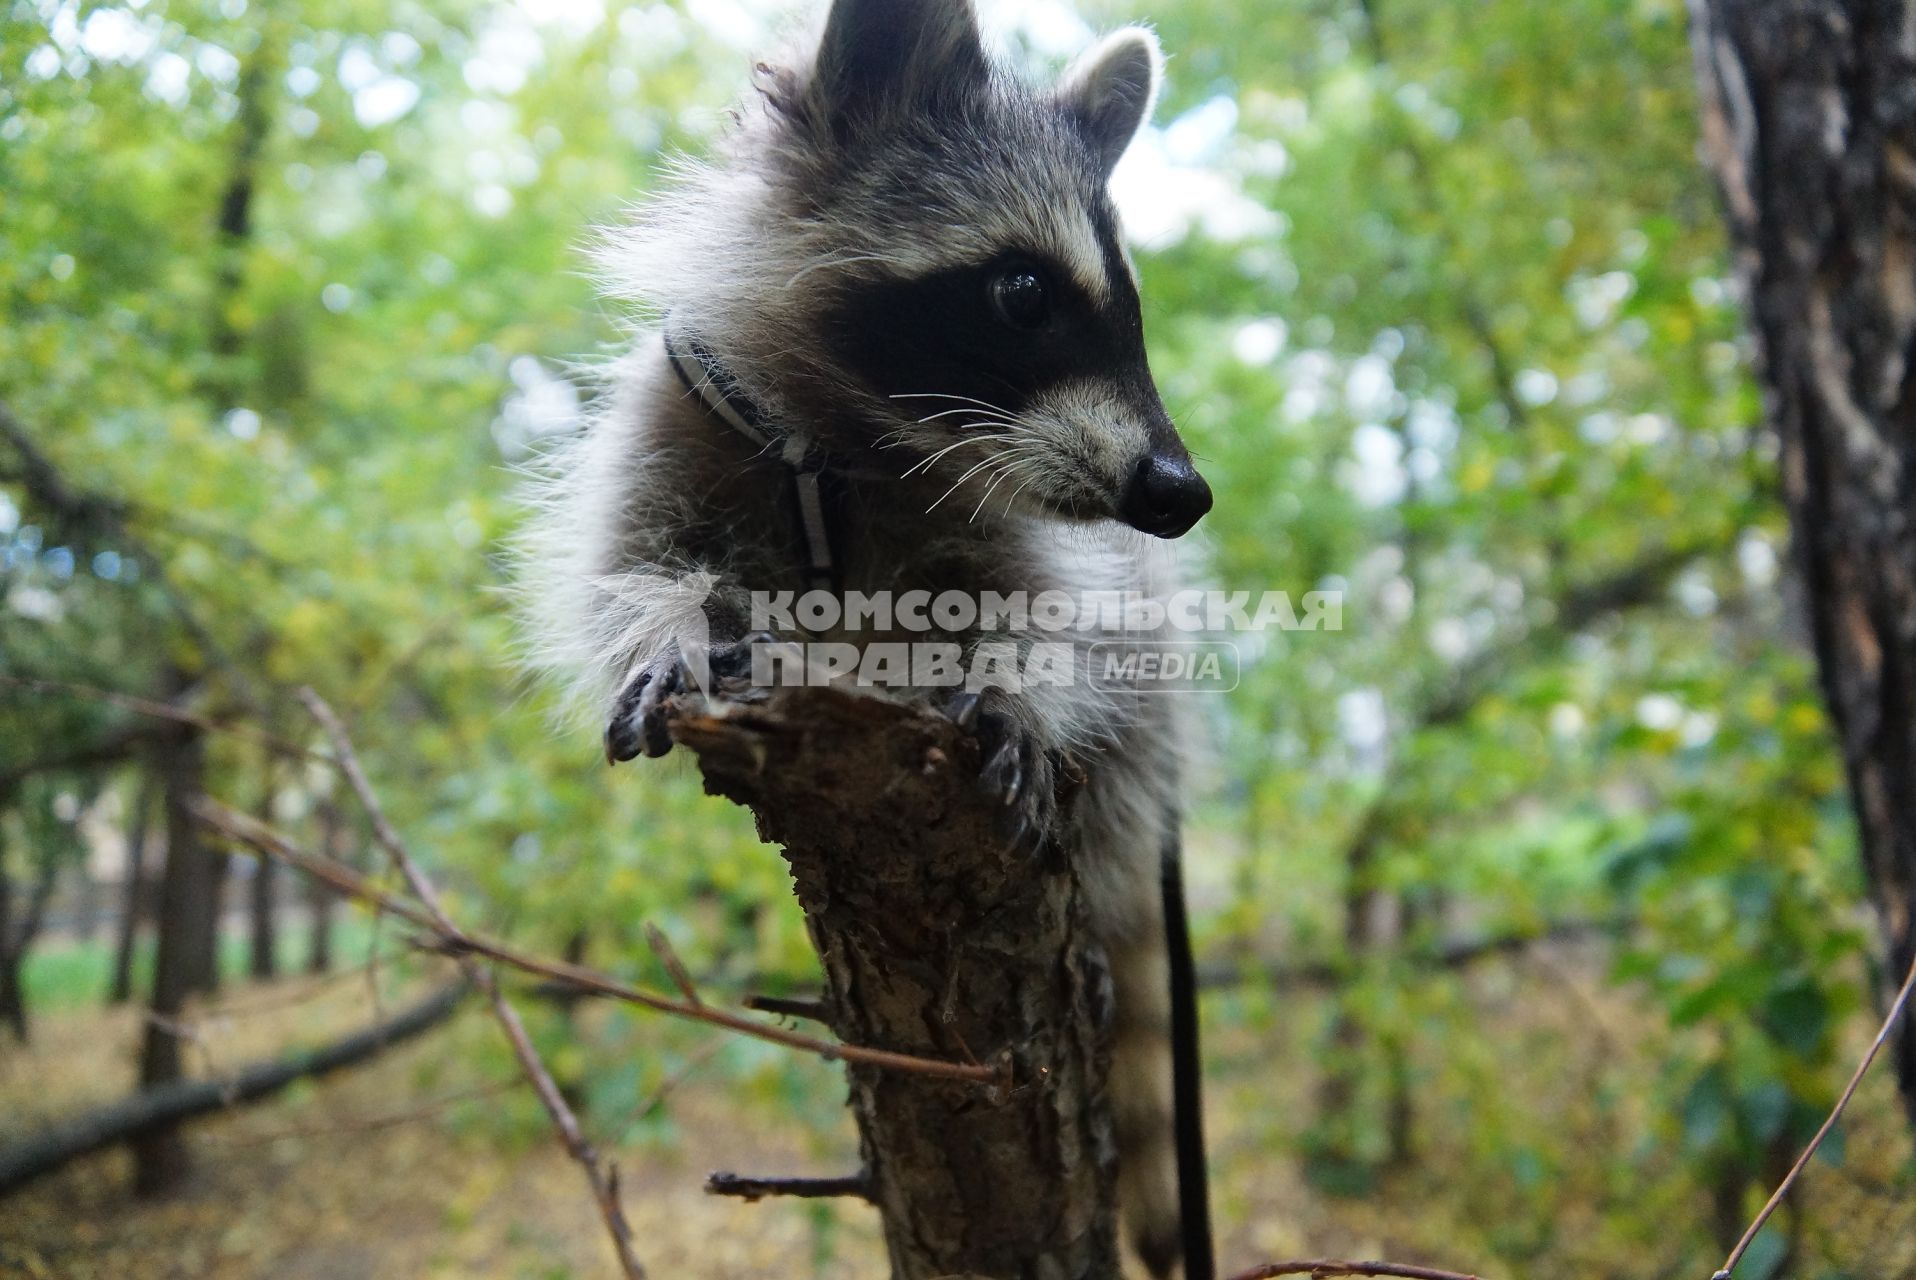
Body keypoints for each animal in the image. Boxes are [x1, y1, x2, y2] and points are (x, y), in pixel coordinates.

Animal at [524, 5, 1210, 1272]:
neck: (851, 442)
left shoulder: (1047, 538)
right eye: (1022, 291)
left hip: (1151, 733)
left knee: (1125, 759)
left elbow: (1053, 617)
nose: (1178, 494)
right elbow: (626, 569)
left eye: (1131, 308)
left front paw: (1014, 688)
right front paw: (662, 633)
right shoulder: (672, 423)